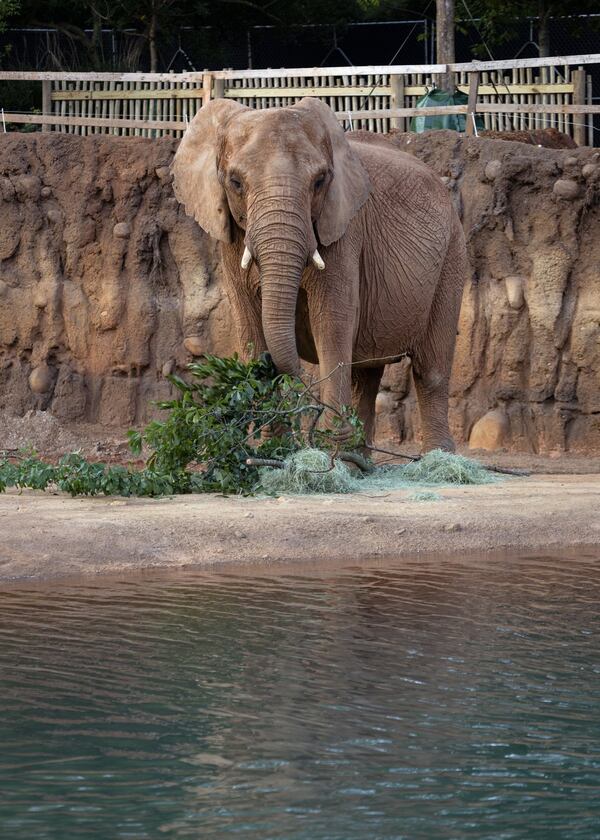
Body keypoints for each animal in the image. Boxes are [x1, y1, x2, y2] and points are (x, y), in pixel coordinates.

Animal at [171, 97, 466, 452]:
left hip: (452, 254)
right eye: (236, 182)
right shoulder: (231, 238)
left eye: (320, 181)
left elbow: (332, 321)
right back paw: (356, 457)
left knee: (430, 368)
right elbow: (251, 328)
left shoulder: (344, 231)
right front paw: (276, 448)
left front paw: (325, 446)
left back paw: (437, 457)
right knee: (365, 374)